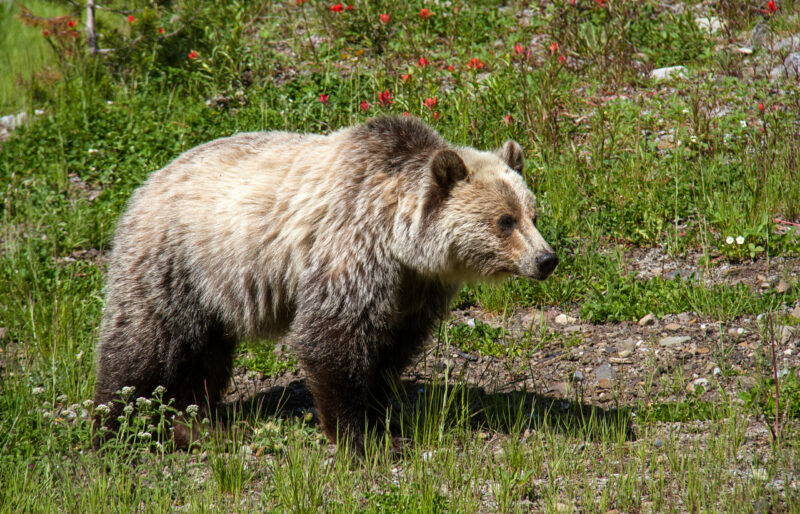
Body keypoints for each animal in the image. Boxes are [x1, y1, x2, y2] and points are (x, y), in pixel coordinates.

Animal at [92, 114, 556, 450]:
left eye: (532, 214)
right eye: (505, 220)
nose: (546, 259)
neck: (401, 239)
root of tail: (145, 182)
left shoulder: (414, 286)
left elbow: (390, 348)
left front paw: (381, 415)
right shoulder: (351, 248)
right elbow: (332, 339)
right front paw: (360, 437)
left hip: (211, 289)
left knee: (204, 355)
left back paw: (199, 425)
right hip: (174, 261)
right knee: (144, 343)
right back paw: (115, 426)